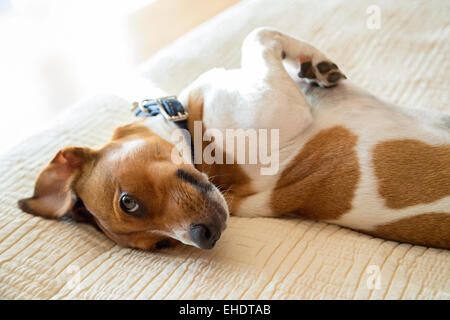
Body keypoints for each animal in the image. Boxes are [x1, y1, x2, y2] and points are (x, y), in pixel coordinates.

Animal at [19, 27, 450, 250]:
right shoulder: (282, 105)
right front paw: (310, 58)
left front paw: (313, 63)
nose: (203, 238)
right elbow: (257, 36)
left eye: (129, 202)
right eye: (162, 246)